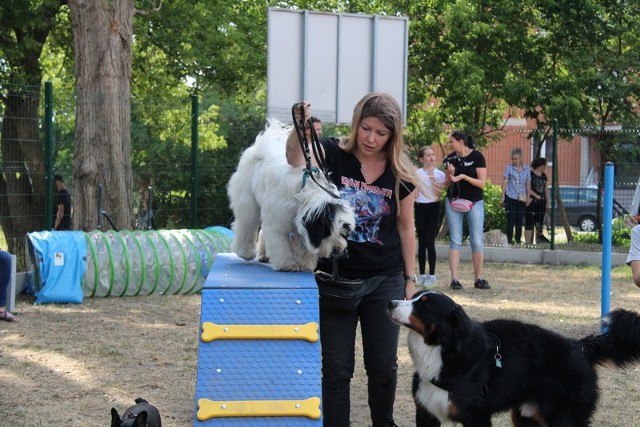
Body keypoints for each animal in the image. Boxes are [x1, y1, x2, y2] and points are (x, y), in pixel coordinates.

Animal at [226, 118, 356, 272]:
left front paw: (305, 263)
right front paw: (287, 264)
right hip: (247, 200)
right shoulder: (277, 221)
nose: (337, 249)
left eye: (343, 232)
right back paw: (245, 252)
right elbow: (279, 243)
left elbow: (303, 246)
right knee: (246, 223)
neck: (304, 192)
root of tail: (260, 146)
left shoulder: (302, 225)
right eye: (328, 232)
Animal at [388, 290, 640, 426]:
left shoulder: (476, 417)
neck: (442, 350)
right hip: (527, 417)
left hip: (564, 417)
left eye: (423, 305)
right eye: (413, 296)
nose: (390, 302)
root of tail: (579, 346)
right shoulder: (426, 414)